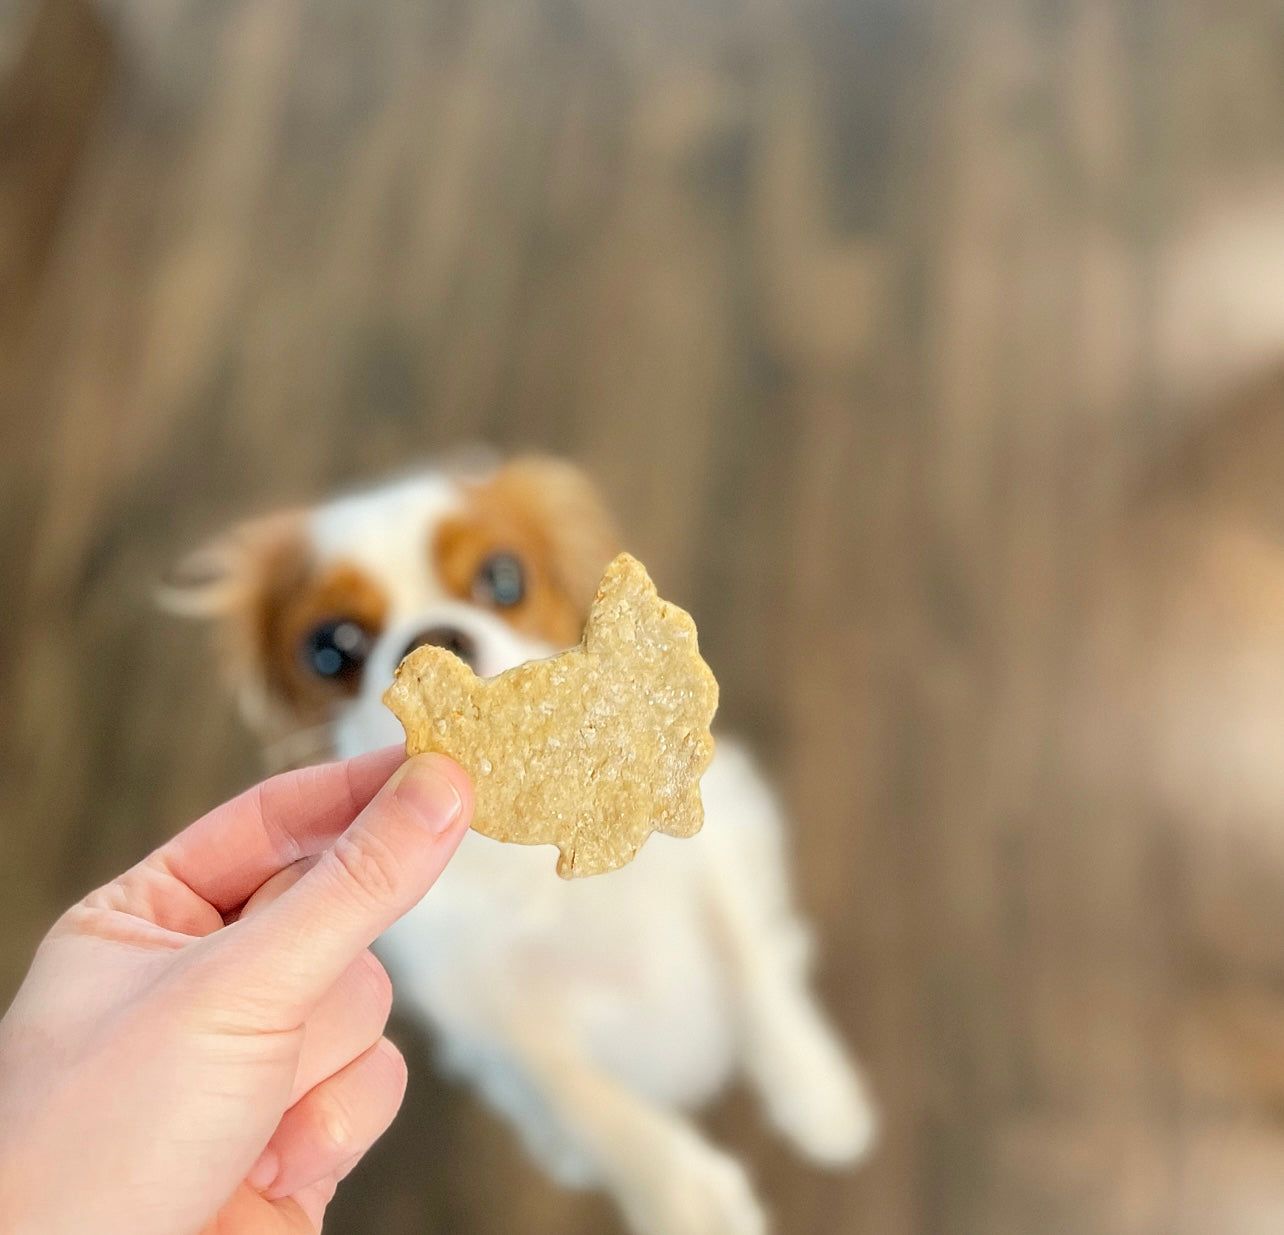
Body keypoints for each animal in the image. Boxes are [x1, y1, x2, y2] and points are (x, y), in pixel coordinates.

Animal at [165, 451, 878, 1232]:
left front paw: (813, 1087)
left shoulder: (707, 848)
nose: (434, 638)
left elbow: (752, 964)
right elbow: (583, 1096)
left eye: (504, 578)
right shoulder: (486, 998)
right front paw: (683, 1195)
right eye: (330, 649)